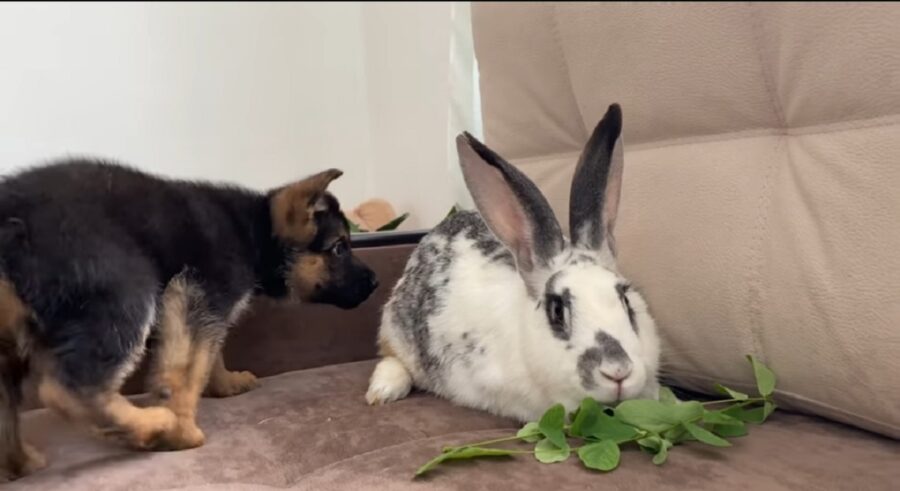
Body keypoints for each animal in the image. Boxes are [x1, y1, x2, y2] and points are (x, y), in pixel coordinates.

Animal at [0, 160, 378, 480]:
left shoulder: (203, 304)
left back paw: (19, 463)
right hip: (128, 286)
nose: (376, 282)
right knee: (68, 390)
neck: (255, 230)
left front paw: (225, 384)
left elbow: (211, 355)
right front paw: (181, 427)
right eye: (339, 248)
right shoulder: (195, 293)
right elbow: (187, 369)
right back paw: (160, 427)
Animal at [366, 104, 660, 422]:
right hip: (395, 331)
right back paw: (383, 391)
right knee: (391, 357)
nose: (617, 371)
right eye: (557, 311)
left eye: (627, 302)